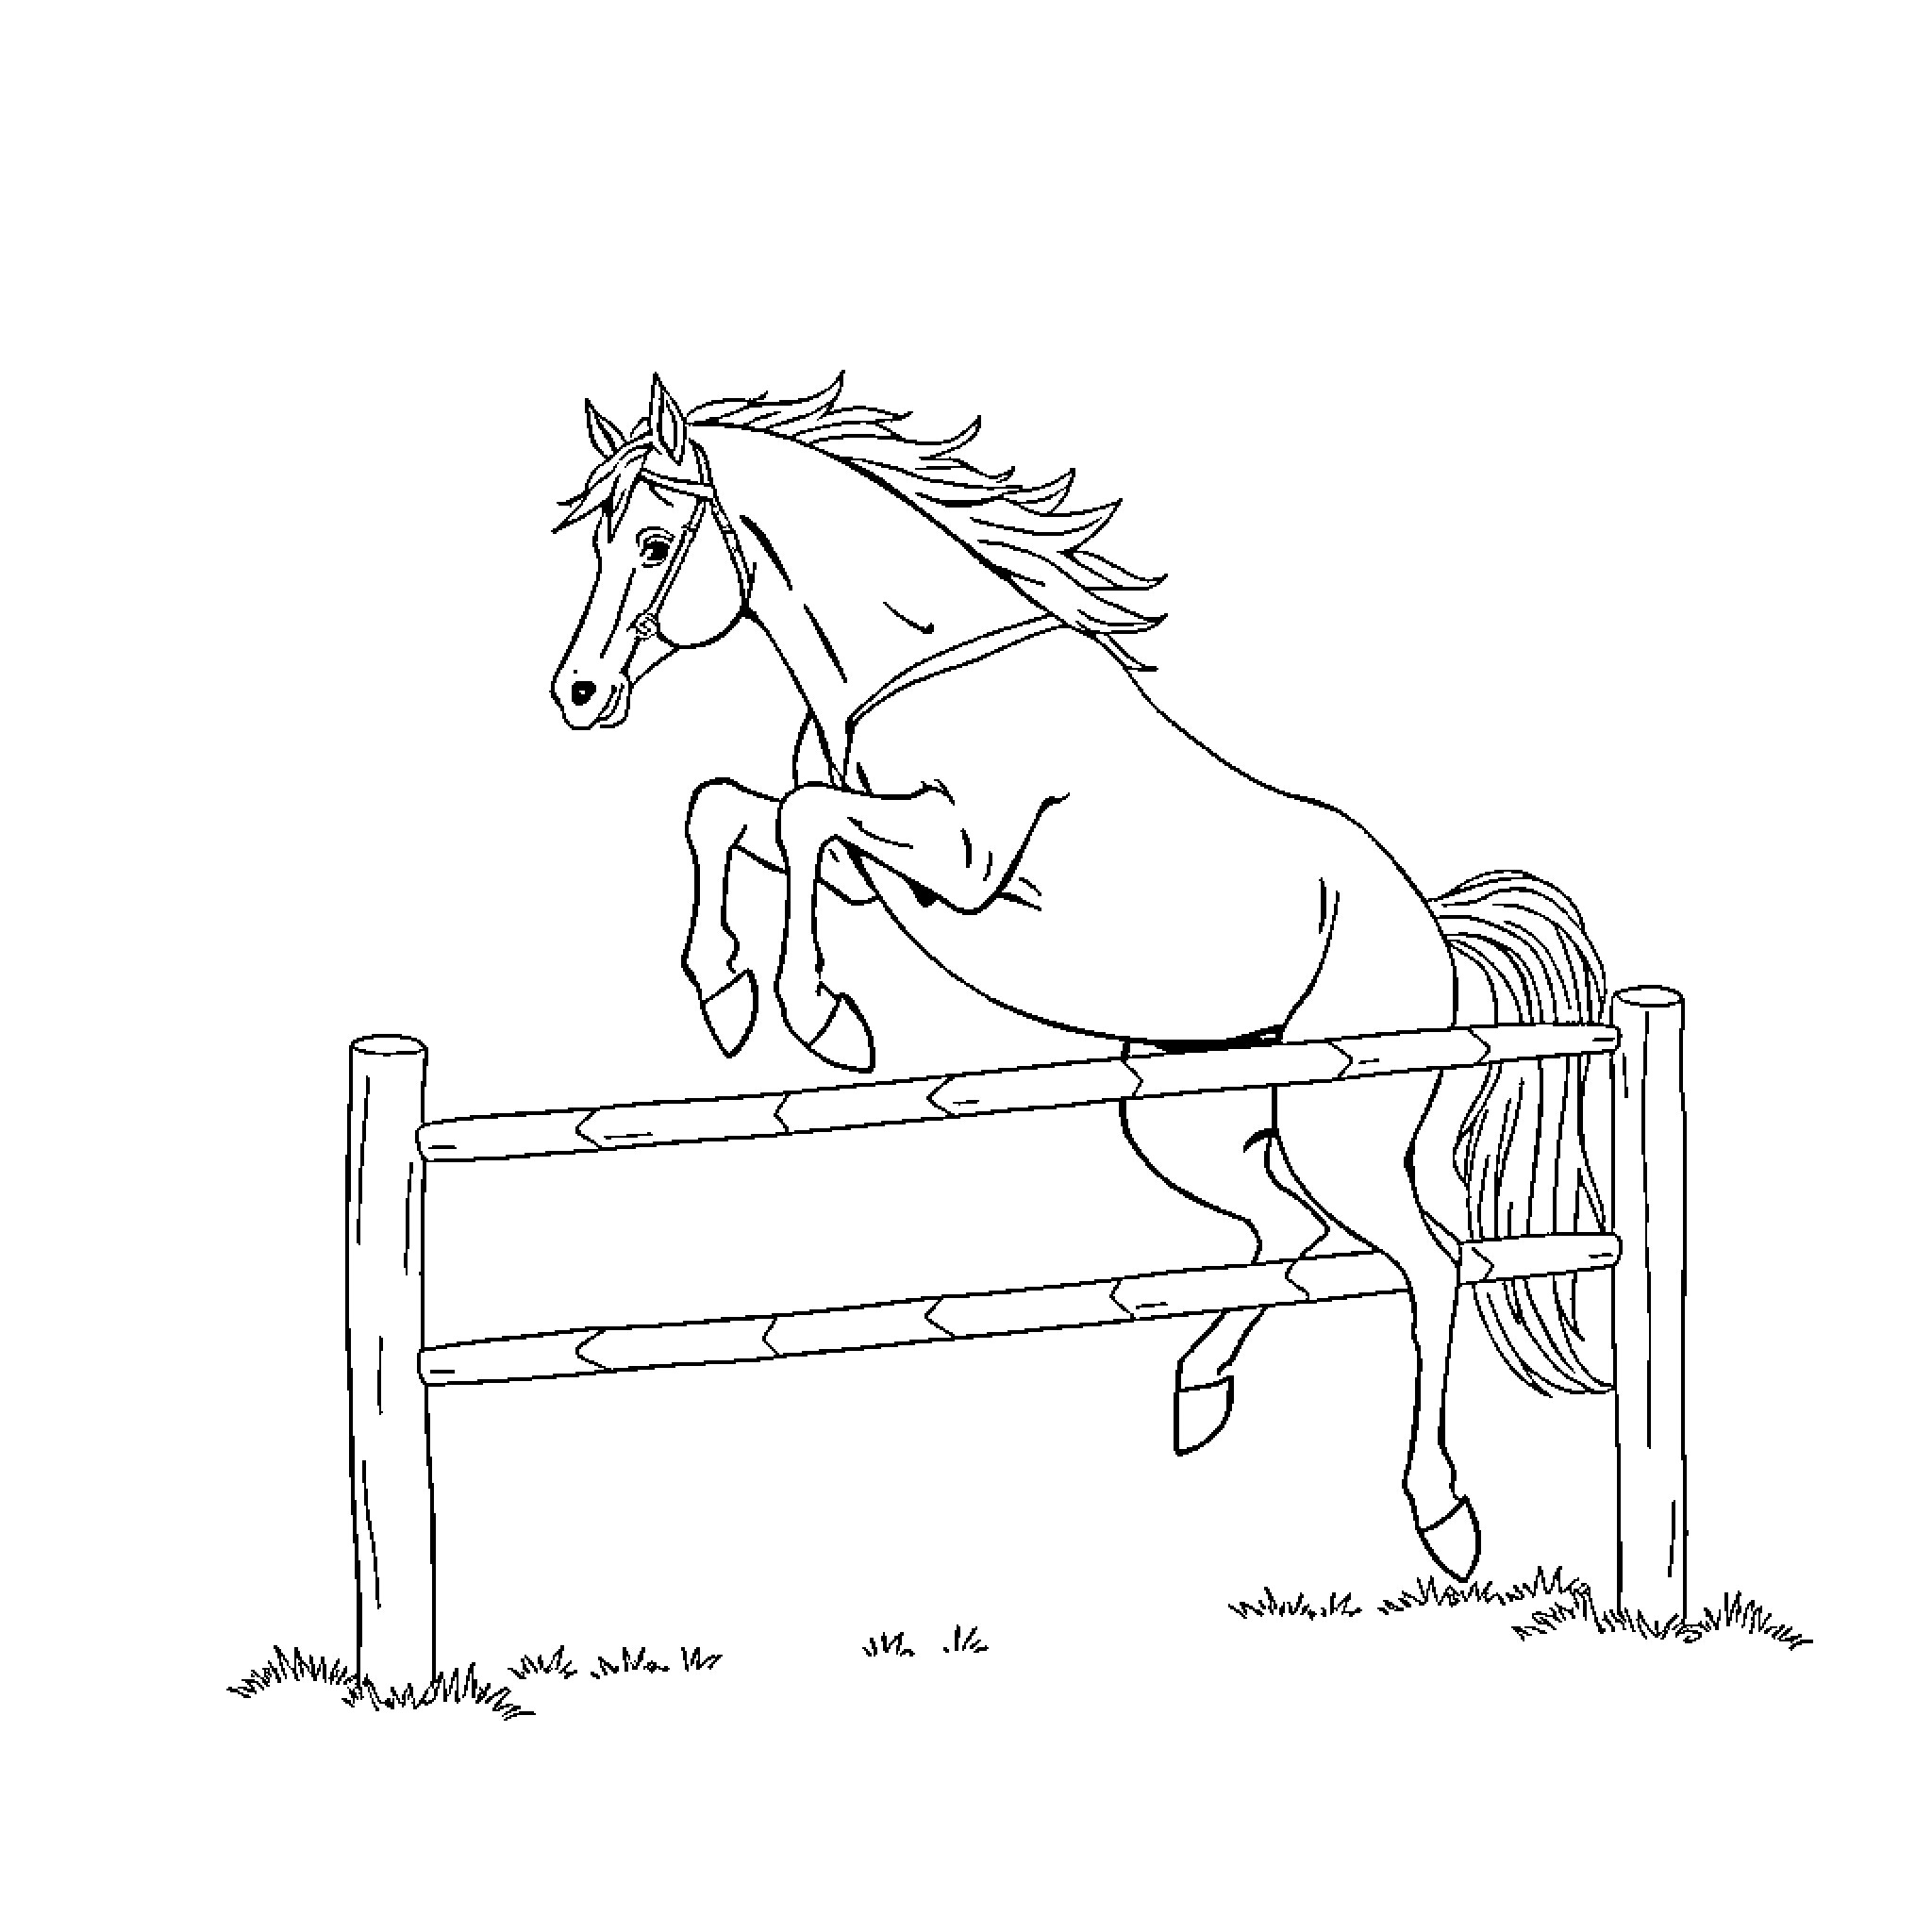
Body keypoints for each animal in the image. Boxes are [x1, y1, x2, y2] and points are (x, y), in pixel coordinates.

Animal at [548, 374, 1611, 1580]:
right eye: (596, 536)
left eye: (652, 539)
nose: (577, 690)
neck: (919, 669)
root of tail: (1430, 931)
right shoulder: (880, 879)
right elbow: (733, 809)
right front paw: (729, 993)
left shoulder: (956, 863)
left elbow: (798, 816)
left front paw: (821, 1018)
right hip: (1192, 1122)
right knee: (1285, 1239)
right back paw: (1199, 1391)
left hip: (1336, 1134)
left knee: (1427, 1266)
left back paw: (1441, 1514)